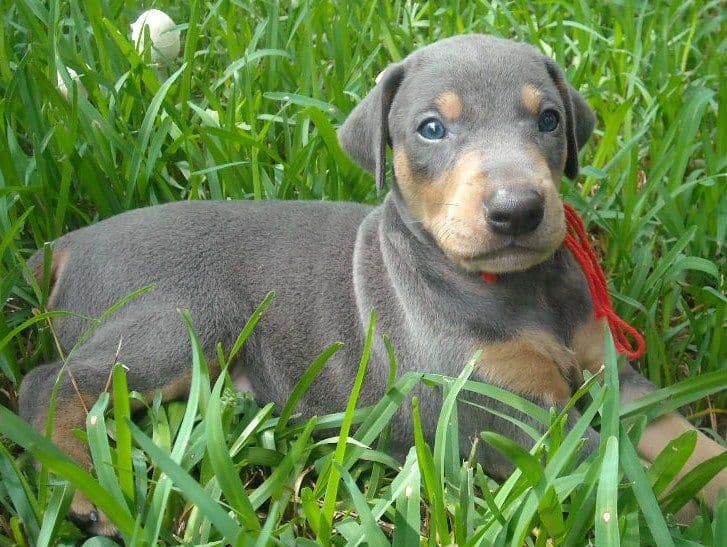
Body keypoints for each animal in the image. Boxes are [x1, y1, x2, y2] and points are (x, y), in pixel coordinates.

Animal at [19, 34, 724, 536]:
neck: (517, 289)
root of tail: (65, 245)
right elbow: (620, 467)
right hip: (179, 322)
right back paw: (85, 487)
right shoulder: (506, 413)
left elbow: (685, 444)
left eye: (549, 120)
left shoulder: (611, 370)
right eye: (431, 129)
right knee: (48, 385)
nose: (519, 210)